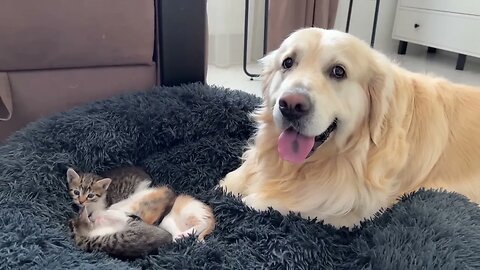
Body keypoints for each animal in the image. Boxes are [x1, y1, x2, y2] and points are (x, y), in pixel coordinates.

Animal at [218, 26, 480, 228]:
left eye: (338, 71)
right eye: (288, 62)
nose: (291, 105)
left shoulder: (346, 212)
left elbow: (260, 203)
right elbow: (230, 181)